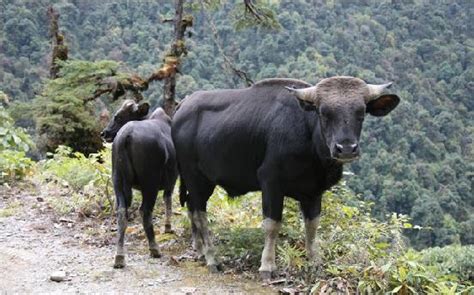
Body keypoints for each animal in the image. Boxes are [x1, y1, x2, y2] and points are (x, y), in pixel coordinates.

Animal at [102, 100, 178, 270]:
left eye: (119, 116)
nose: (104, 133)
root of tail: (125, 137)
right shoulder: (173, 179)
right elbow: (168, 200)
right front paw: (168, 227)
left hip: (118, 180)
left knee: (122, 212)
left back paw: (119, 257)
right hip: (150, 182)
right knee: (145, 211)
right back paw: (154, 248)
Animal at [171, 76, 400, 280]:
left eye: (361, 112)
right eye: (324, 113)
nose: (345, 148)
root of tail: (182, 106)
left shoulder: (314, 191)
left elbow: (312, 226)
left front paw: (314, 261)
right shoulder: (271, 183)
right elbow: (272, 225)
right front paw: (267, 266)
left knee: (191, 206)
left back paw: (200, 250)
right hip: (195, 177)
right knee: (200, 213)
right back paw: (212, 258)